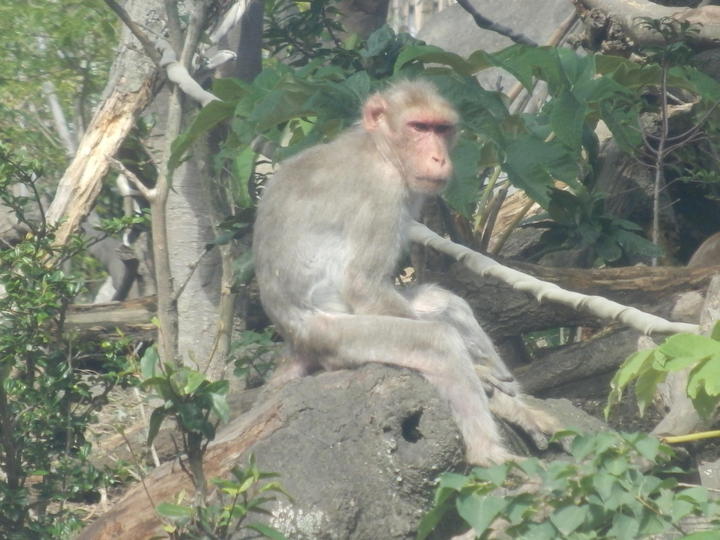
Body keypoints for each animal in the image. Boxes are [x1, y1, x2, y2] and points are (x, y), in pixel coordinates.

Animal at [253, 79, 556, 464]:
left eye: (441, 129)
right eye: (418, 127)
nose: (439, 157)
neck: (381, 150)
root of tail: (294, 340)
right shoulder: (381, 193)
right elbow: (363, 286)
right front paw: (479, 373)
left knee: (445, 305)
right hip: (336, 337)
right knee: (436, 342)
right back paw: (488, 454)